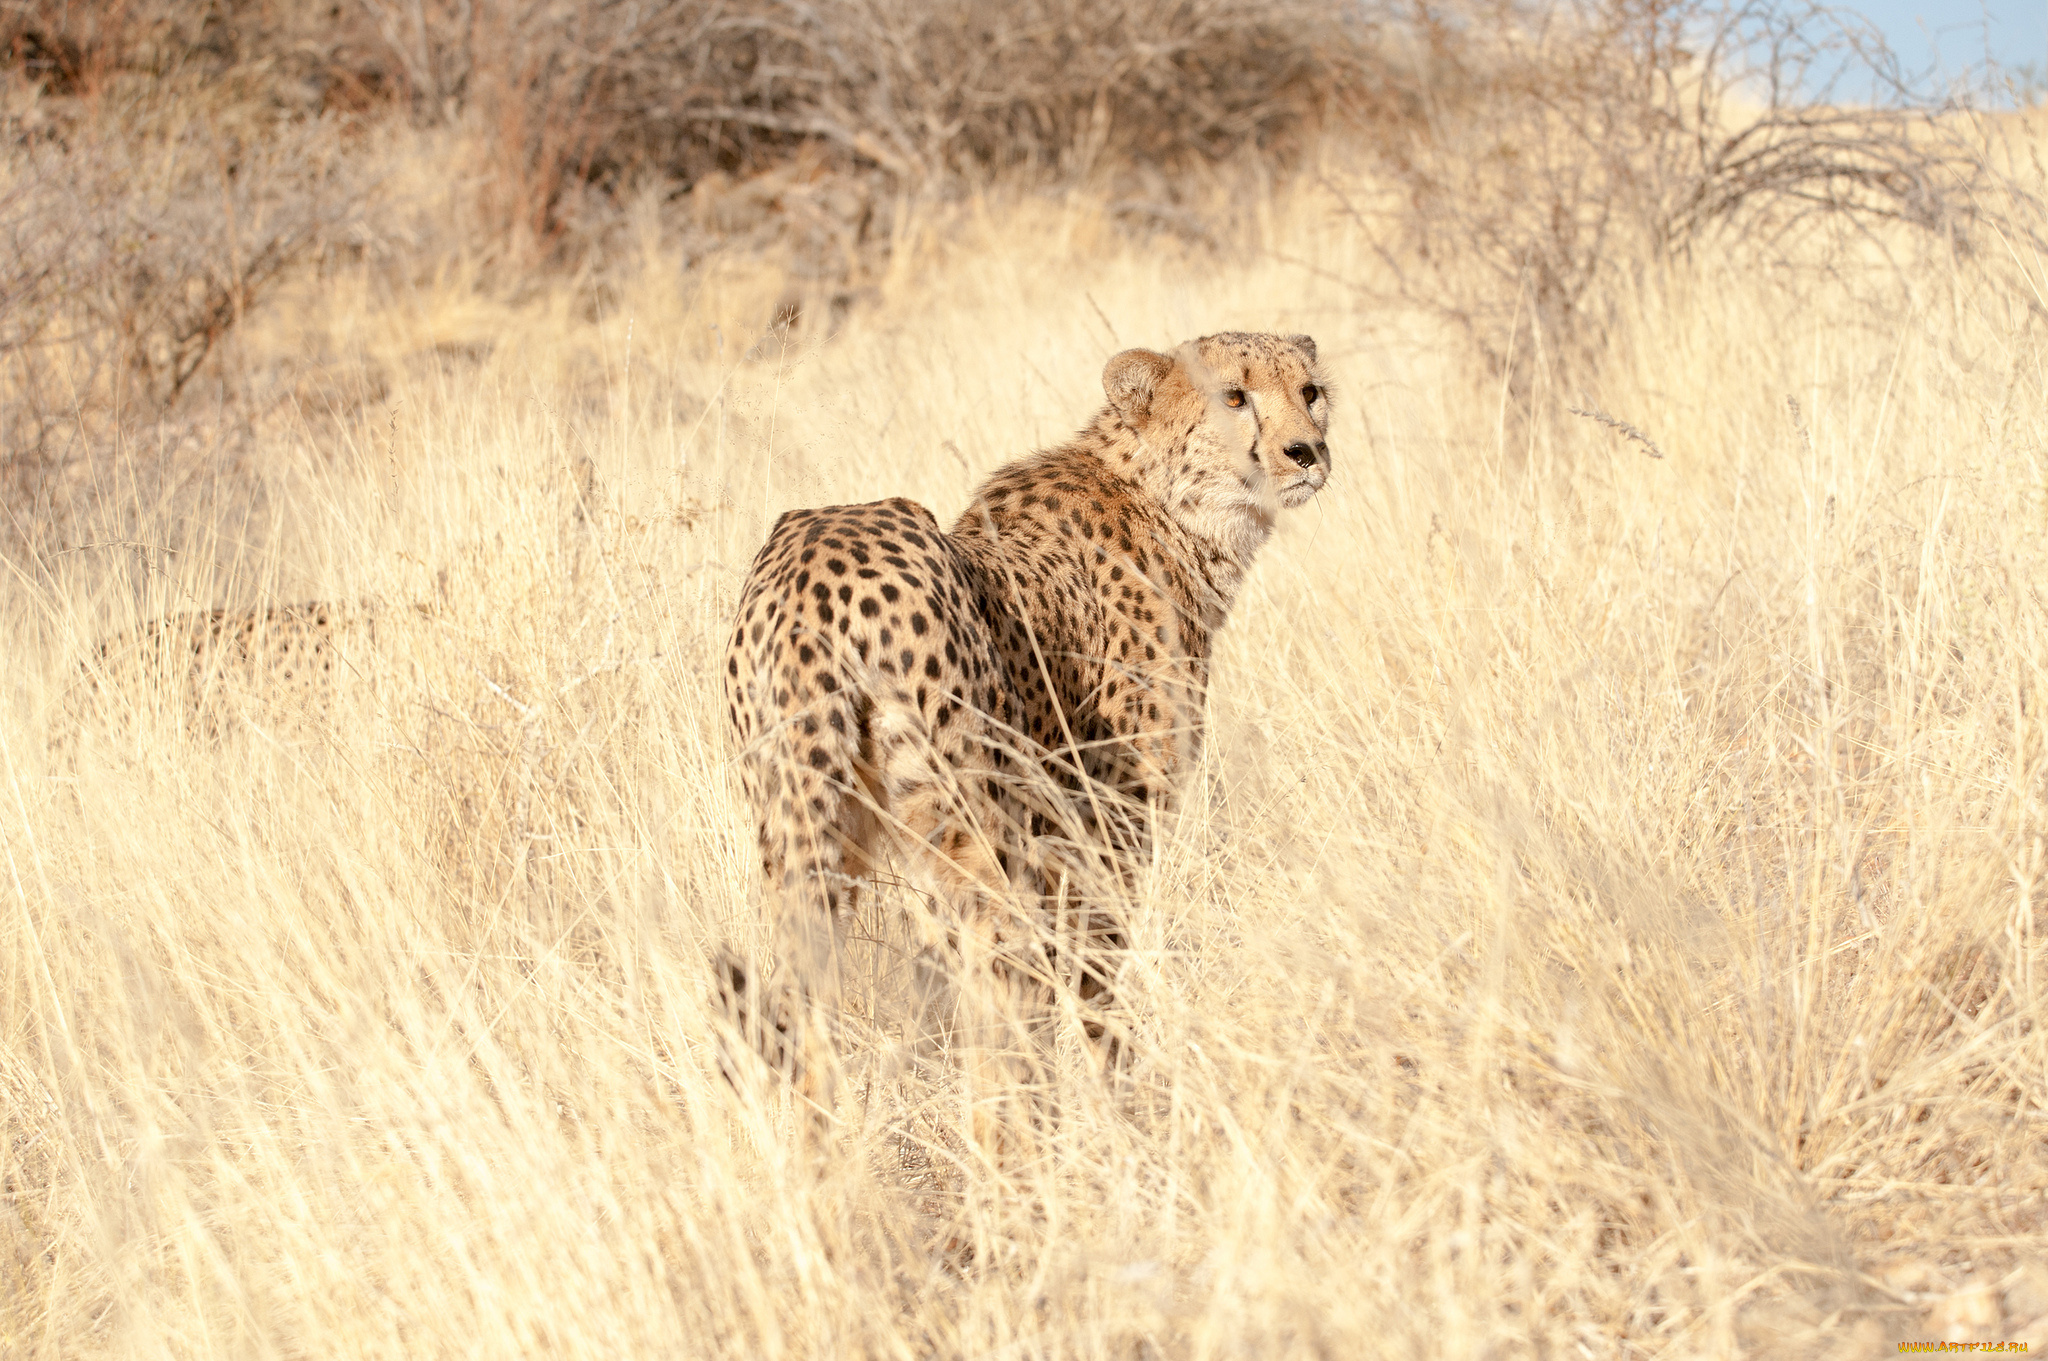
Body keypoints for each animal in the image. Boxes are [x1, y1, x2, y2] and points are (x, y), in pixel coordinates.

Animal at [719, 331, 1333, 1150]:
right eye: (1233, 395)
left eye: (1310, 390)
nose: (1307, 452)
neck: (1170, 502)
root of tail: (818, 565)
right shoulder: (1102, 830)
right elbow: (1096, 986)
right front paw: (1125, 1112)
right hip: (970, 825)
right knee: (990, 1003)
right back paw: (1015, 1158)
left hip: (802, 835)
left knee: (811, 1005)